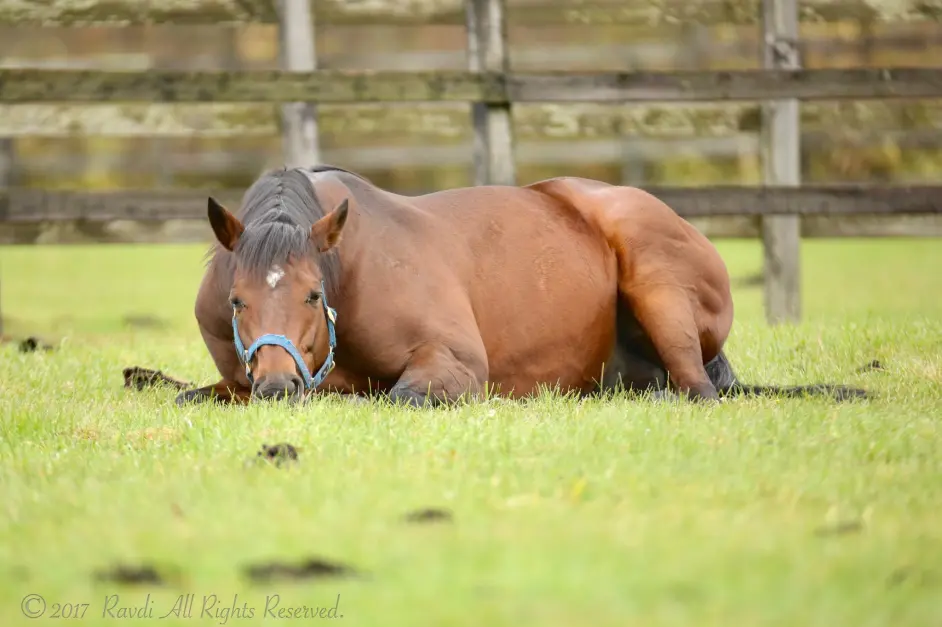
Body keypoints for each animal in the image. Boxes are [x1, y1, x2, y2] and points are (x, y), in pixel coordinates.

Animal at [170, 164, 867, 407]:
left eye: (313, 295)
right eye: (237, 301)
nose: (277, 387)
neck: (351, 267)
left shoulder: (453, 362)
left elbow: (397, 397)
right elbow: (189, 397)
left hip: (660, 287)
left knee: (697, 391)